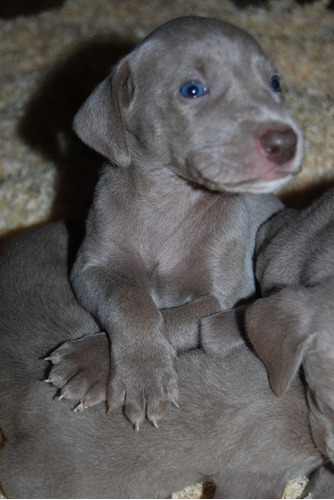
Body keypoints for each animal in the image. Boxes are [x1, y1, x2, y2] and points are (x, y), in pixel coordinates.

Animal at [45, 17, 304, 428]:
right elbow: (129, 298)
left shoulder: (221, 296)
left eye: (275, 83)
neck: (170, 203)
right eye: (192, 89)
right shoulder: (90, 267)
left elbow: (172, 320)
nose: (285, 141)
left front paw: (104, 365)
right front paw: (137, 369)